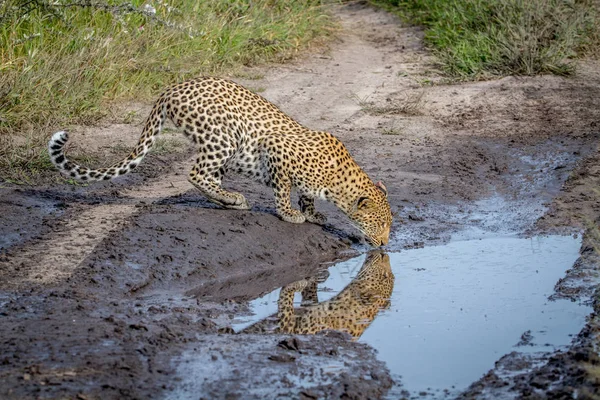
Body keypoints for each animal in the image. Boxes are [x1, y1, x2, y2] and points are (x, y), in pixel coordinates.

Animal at [49, 75, 392, 244]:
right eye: (380, 224)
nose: (385, 245)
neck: (337, 183)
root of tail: (173, 87)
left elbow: (306, 195)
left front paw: (312, 214)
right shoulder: (277, 150)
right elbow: (283, 191)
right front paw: (289, 214)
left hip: (226, 148)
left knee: (209, 176)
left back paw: (227, 200)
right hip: (224, 138)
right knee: (195, 173)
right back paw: (233, 198)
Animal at [239, 252, 394, 340]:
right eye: (388, 276)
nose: (384, 254)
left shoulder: (289, 328)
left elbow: (286, 298)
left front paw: (300, 282)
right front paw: (317, 275)